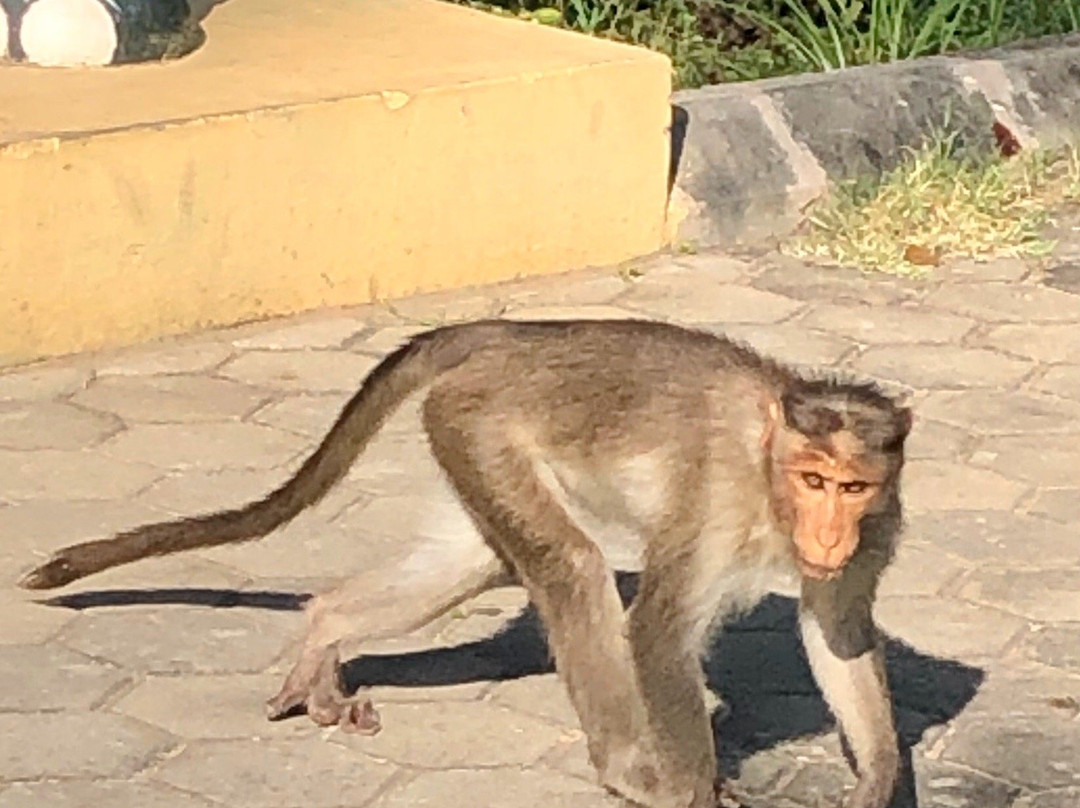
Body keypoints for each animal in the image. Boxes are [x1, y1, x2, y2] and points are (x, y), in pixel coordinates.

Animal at [16, 319, 911, 803]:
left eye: (852, 486)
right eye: (813, 480)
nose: (827, 533)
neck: (769, 474)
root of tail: (516, 333)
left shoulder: (881, 527)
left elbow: (836, 632)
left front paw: (875, 781)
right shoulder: (717, 498)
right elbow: (656, 633)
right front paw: (690, 792)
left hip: (468, 439)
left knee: (475, 564)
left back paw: (325, 630)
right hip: (479, 421)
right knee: (572, 571)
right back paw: (629, 772)